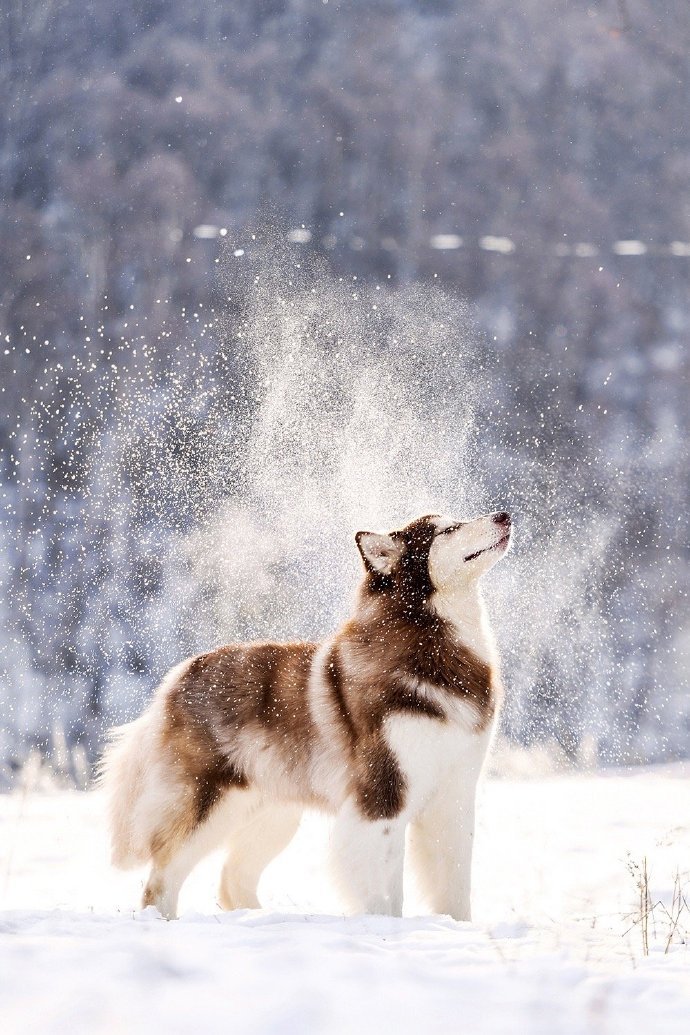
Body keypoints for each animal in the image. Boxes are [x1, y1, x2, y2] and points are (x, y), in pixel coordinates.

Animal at [102, 509, 513, 923]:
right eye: (448, 530)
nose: (504, 515)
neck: (431, 642)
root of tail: (178, 674)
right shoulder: (383, 796)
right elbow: (385, 893)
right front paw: (386, 927)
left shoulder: (454, 796)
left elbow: (456, 887)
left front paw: (458, 928)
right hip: (210, 806)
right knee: (161, 881)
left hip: (273, 813)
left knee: (232, 878)